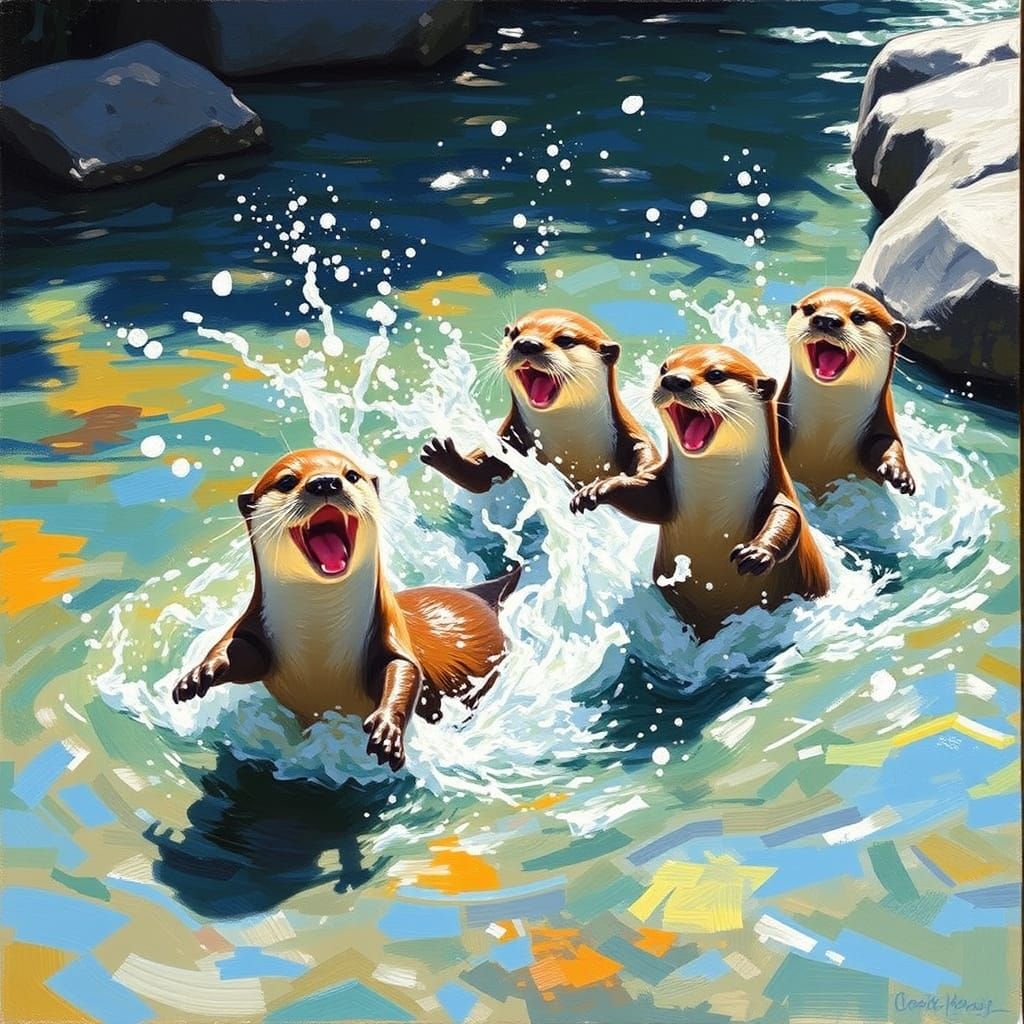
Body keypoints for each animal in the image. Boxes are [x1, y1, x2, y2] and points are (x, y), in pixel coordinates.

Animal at [171, 448, 521, 771]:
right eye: (286, 481)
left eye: (351, 475)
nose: (325, 481)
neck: (319, 636)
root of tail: (478, 594)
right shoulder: (256, 623)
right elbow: (242, 650)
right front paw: (200, 673)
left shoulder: (390, 631)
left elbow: (404, 669)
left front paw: (387, 730)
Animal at [421, 309, 658, 492]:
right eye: (514, 333)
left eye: (565, 340)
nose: (526, 343)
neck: (569, 437)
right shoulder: (512, 436)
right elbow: (483, 475)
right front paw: (446, 456)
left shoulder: (629, 432)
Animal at [571, 345, 829, 640]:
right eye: (665, 367)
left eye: (716, 374)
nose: (673, 380)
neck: (713, 493)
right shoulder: (665, 489)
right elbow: (646, 498)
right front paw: (597, 489)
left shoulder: (776, 491)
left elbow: (787, 517)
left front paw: (757, 553)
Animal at [780, 286, 915, 498]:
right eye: (810, 309)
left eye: (859, 317)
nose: (826, 319)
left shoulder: (882, 423)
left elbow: (888, 442)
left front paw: (899, 473)